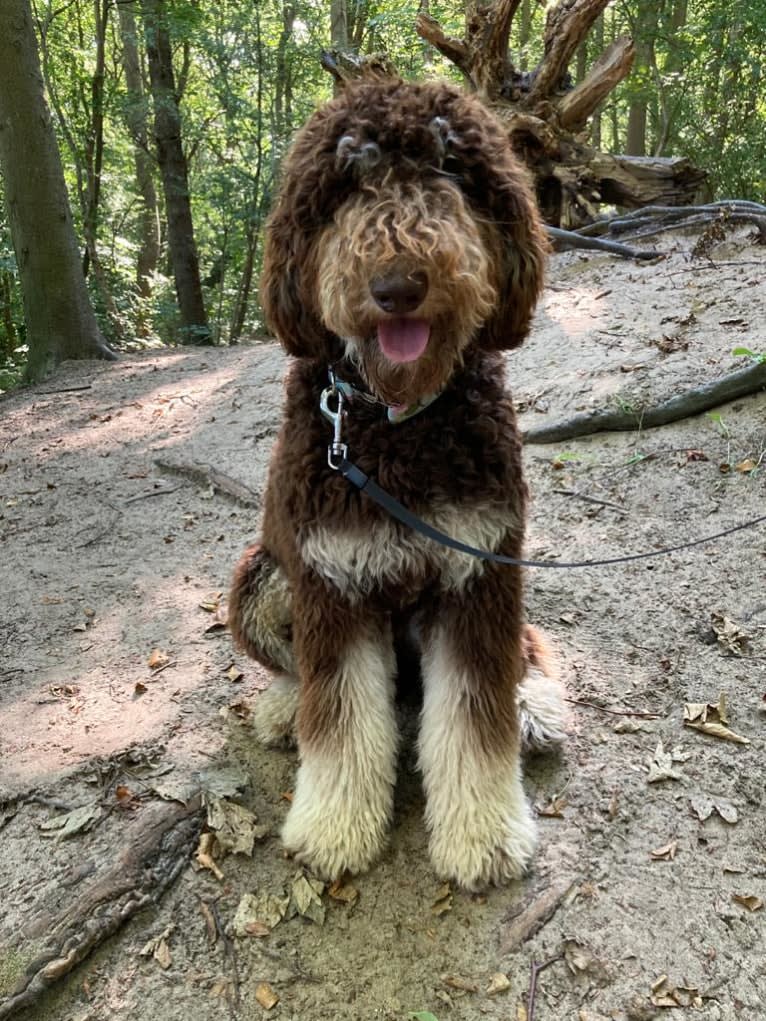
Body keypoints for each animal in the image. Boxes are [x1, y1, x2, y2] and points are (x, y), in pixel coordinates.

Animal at [230, 79, 567, 890]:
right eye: (349, 180)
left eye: (449, 167)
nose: (398, 285)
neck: (396, 421)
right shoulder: (332, 581)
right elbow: (342, 716)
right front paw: (334, 826)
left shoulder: (480, 571)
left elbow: (475, 716)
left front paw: (483, 834)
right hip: (261, 575)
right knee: (300, 674)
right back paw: (284, 709)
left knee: (526, 651)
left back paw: (533, 703)